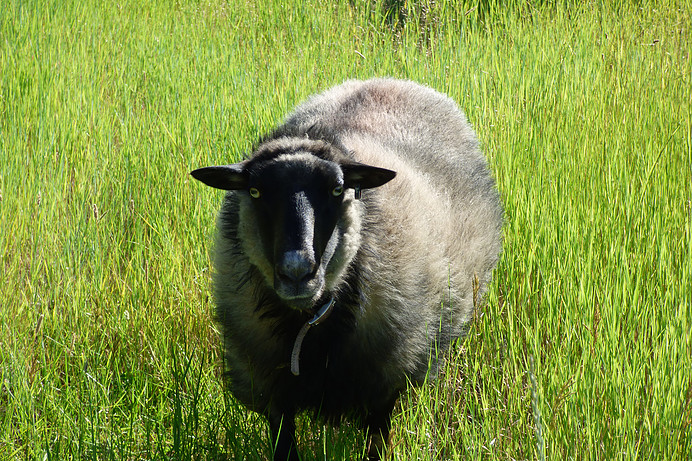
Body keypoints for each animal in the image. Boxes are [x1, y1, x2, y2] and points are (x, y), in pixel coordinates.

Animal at [191, 78, 503, 460]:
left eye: (338, 189)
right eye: (255, 191)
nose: (298, 272)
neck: (310, 326)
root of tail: (390, 80)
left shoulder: (383, 389)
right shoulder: (272, 395)